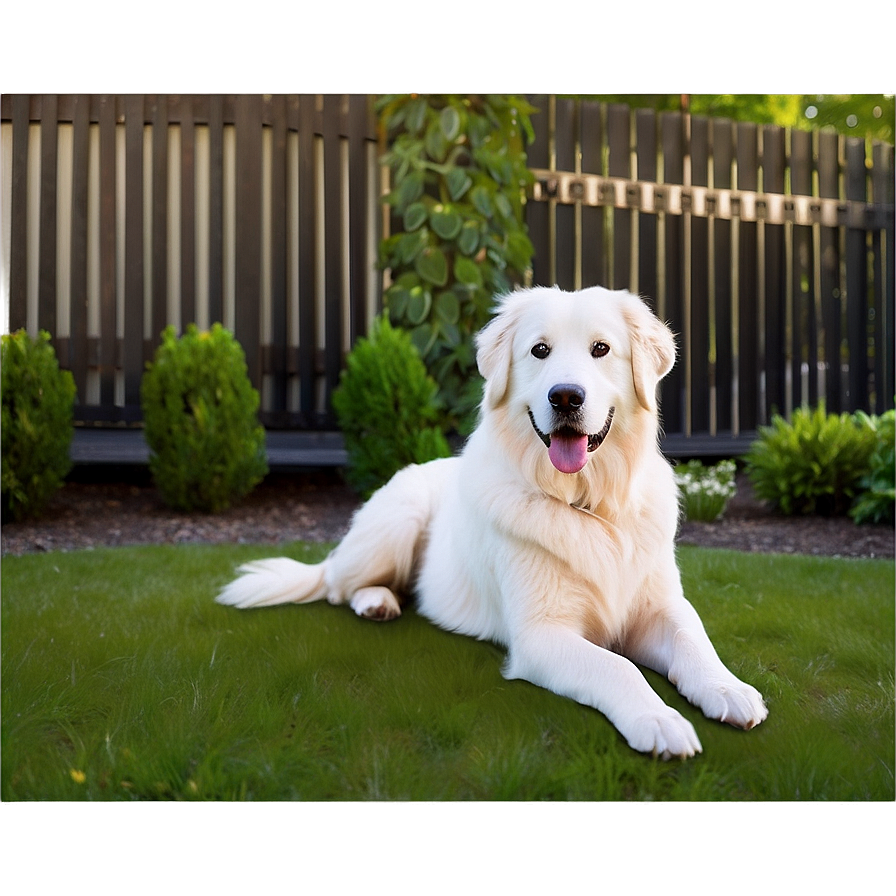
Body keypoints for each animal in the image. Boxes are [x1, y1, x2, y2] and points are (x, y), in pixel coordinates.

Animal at [220, 286, 768, 756]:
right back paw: (376, 600)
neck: (587, 505)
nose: (565, 397)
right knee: (337, 584)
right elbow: (617, 668)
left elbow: (694, 640)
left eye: (601, 349)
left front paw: (729, 689)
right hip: (397, 519)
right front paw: (658, 720)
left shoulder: (660, 606)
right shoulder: (541, 635)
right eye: (540, 350)